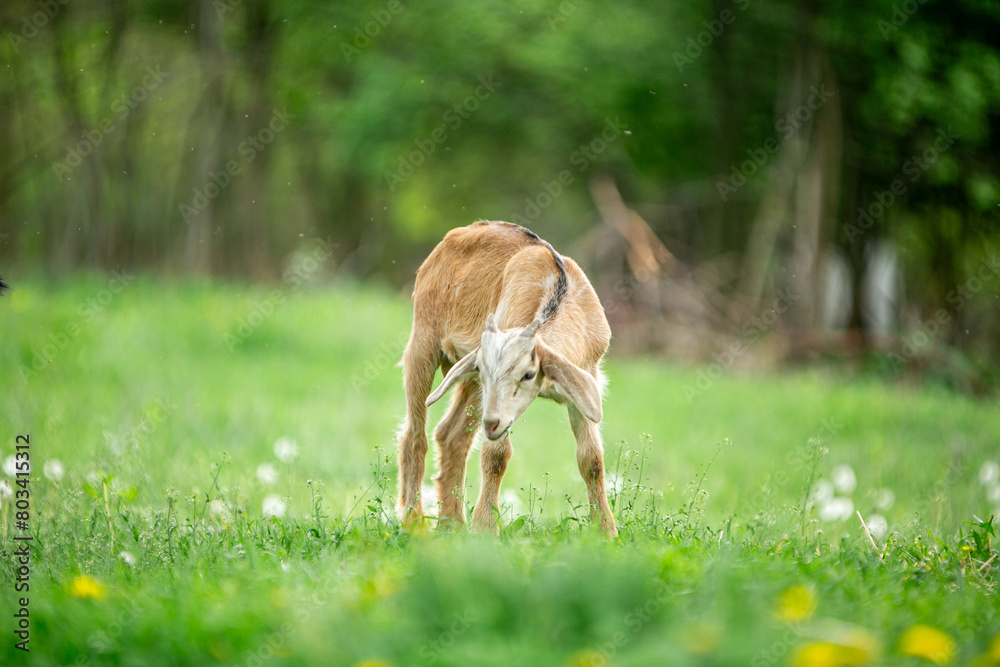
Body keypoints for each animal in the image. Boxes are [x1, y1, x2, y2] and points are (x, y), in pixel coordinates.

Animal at [396, 220, 617, 536]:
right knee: (414, 436)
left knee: (451, 436)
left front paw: (606, 531)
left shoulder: (585, 379)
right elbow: (497, 455)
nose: (492, 423)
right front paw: (486, 528)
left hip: (469, 381)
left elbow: (592, 459)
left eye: (528, 374)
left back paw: (452, 525)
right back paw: (414, 521)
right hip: (423, 341)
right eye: (486, 370)